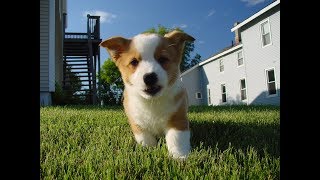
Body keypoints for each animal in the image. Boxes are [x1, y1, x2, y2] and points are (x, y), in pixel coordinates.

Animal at [100, 30, 195, 160]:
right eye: (134, 62)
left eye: (163, 59)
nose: (149, 77)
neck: (152, 102)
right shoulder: (137, 122)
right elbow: (146, 139)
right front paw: (150, 152)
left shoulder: (178, 118)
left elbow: (177, 139)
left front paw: (180, 157)